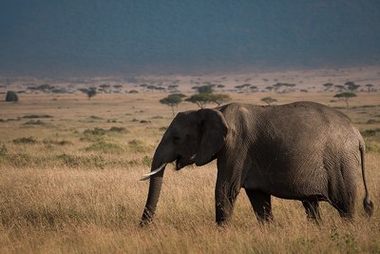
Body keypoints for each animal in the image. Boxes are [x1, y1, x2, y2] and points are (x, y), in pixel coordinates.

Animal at [140, 101, 374, 226]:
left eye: (177, 138)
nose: (143, 227)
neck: (215, 110)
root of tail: (358, 136)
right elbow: (258, 198)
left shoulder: (237, 147)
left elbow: (225, 190)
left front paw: (222, 233)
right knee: (311, 205)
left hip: (341, 163)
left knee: (344, 204)